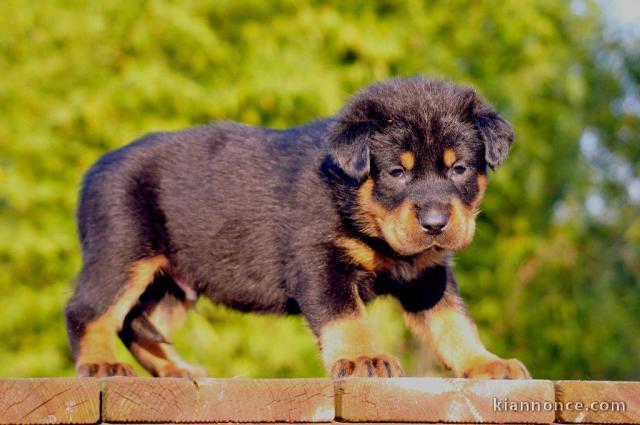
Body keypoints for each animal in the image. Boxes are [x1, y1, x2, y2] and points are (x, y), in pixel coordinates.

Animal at [67, 77, 532, 378]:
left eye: (459, 169)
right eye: (397, 173)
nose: (435, 224)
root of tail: (93, 171)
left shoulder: (427, 274)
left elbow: (452, 322)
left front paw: (486, 362)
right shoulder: (319, 260)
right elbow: (346, 316)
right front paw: (362, 360)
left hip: (174, 281)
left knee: (139, 322)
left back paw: (176, 369)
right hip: (123, 250)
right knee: (89, 310)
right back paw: (102, 364)